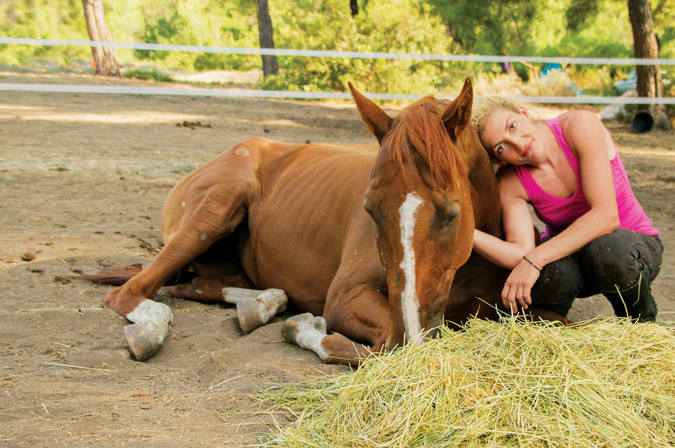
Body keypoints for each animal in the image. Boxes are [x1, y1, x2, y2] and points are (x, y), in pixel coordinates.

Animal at [80, 79, 564, 364]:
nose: (410, 333)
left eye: (452, 214)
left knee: (200, 286)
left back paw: (262, 305)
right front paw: (305, 328)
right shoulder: (349, 301)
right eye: (369, 209)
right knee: (131, 293)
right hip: (212, 214)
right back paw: (152, 330)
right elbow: (371, 349)